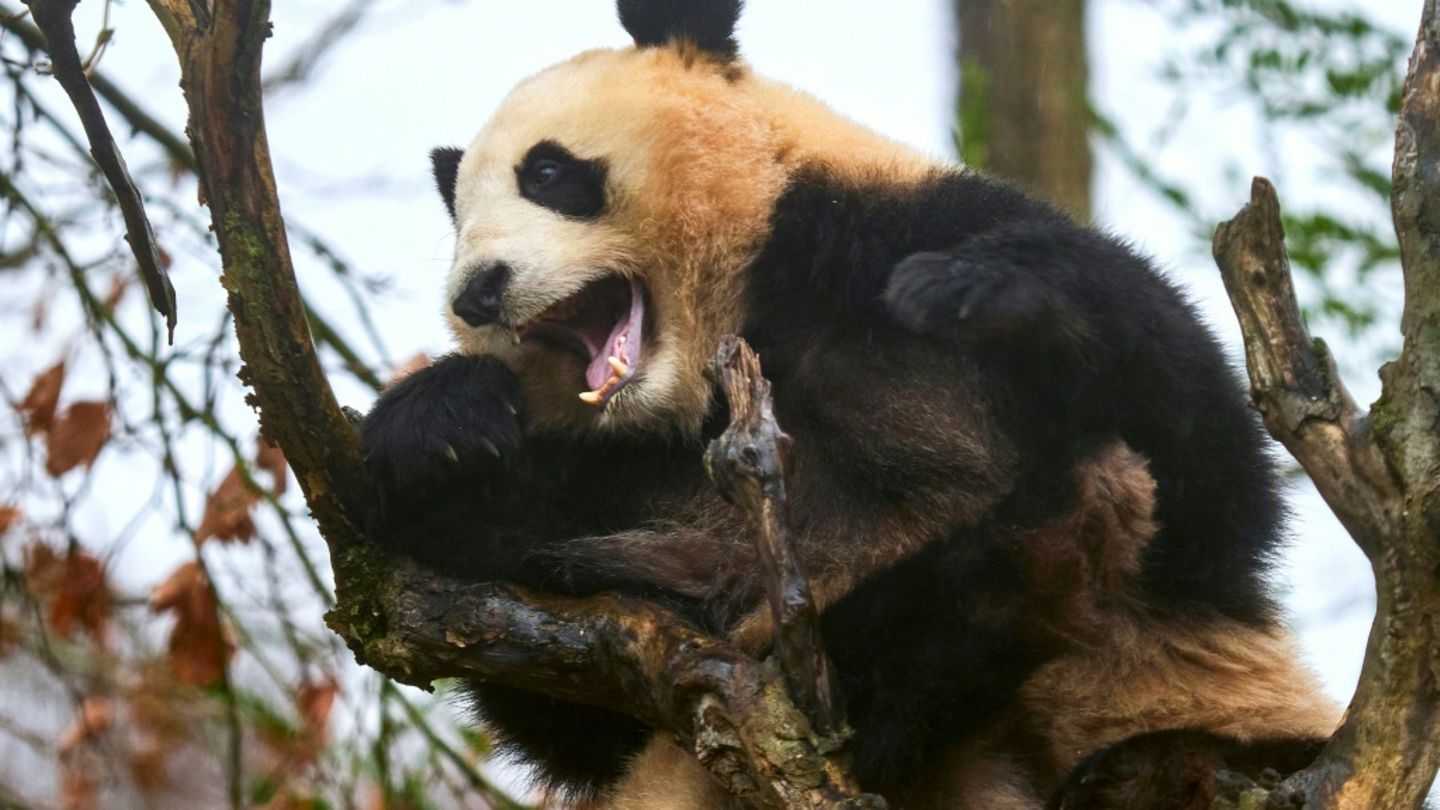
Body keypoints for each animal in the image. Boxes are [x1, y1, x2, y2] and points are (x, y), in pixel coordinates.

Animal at [359, 1, 1340, 807]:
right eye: (459, 220)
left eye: (549, 172)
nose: (479, 293)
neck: (738, 334)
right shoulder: (624, 479)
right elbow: (570, 701)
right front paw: (440, 432)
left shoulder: (880, 236)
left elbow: (1213, 490)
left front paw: (993, 290)